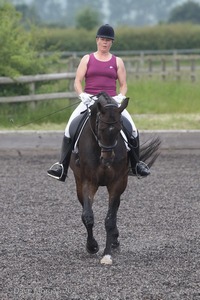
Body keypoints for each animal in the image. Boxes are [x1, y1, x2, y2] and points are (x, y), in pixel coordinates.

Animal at [69, 92, 160, 264]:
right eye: (100, 128)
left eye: (119, 128)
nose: (107, 158)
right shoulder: (88, 182)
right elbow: (88, 216)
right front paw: (92, 246)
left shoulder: (117, 183)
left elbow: (110, 220)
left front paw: (107, 254)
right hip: (79, 183)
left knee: (115, 209)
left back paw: (115, 240)